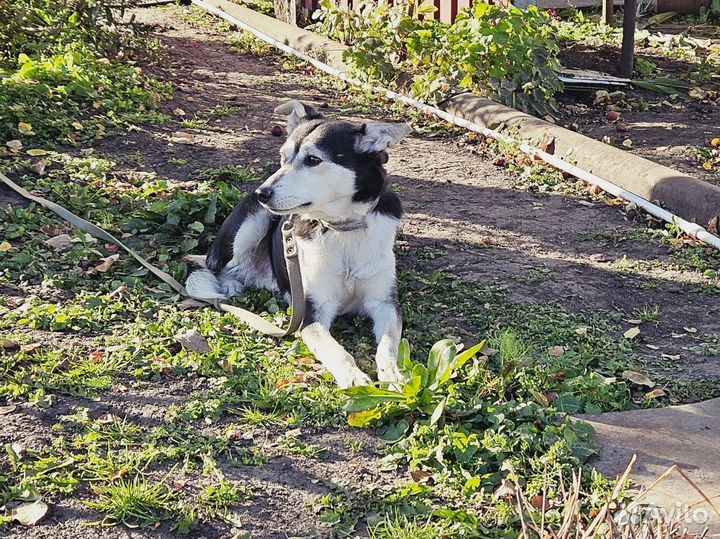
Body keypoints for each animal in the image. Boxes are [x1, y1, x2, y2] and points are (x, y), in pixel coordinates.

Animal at [186, 100, 410, 388]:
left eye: (313, 160)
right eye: (283, 157)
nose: (263, 192)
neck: (342, 228)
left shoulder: (385, 303)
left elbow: (388, 345)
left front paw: (393, 374)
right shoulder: (312, 313)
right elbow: (338, 352)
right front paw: (354, 378)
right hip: (251, 223)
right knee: (218, 266)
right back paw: (232, 283)